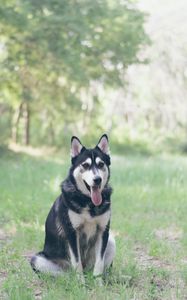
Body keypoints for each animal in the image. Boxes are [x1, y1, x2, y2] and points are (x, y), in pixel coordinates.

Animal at [30, 135, 115, 280]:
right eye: (85, 165)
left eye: (101, 164)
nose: (97, 179)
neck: (88, 202)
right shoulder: (71, 232)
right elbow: (77, 262)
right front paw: (80, 282)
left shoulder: (103, 231)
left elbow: (99, 262)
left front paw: (98, 282)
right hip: (37, 259)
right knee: (67, 272)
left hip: (111, 242)